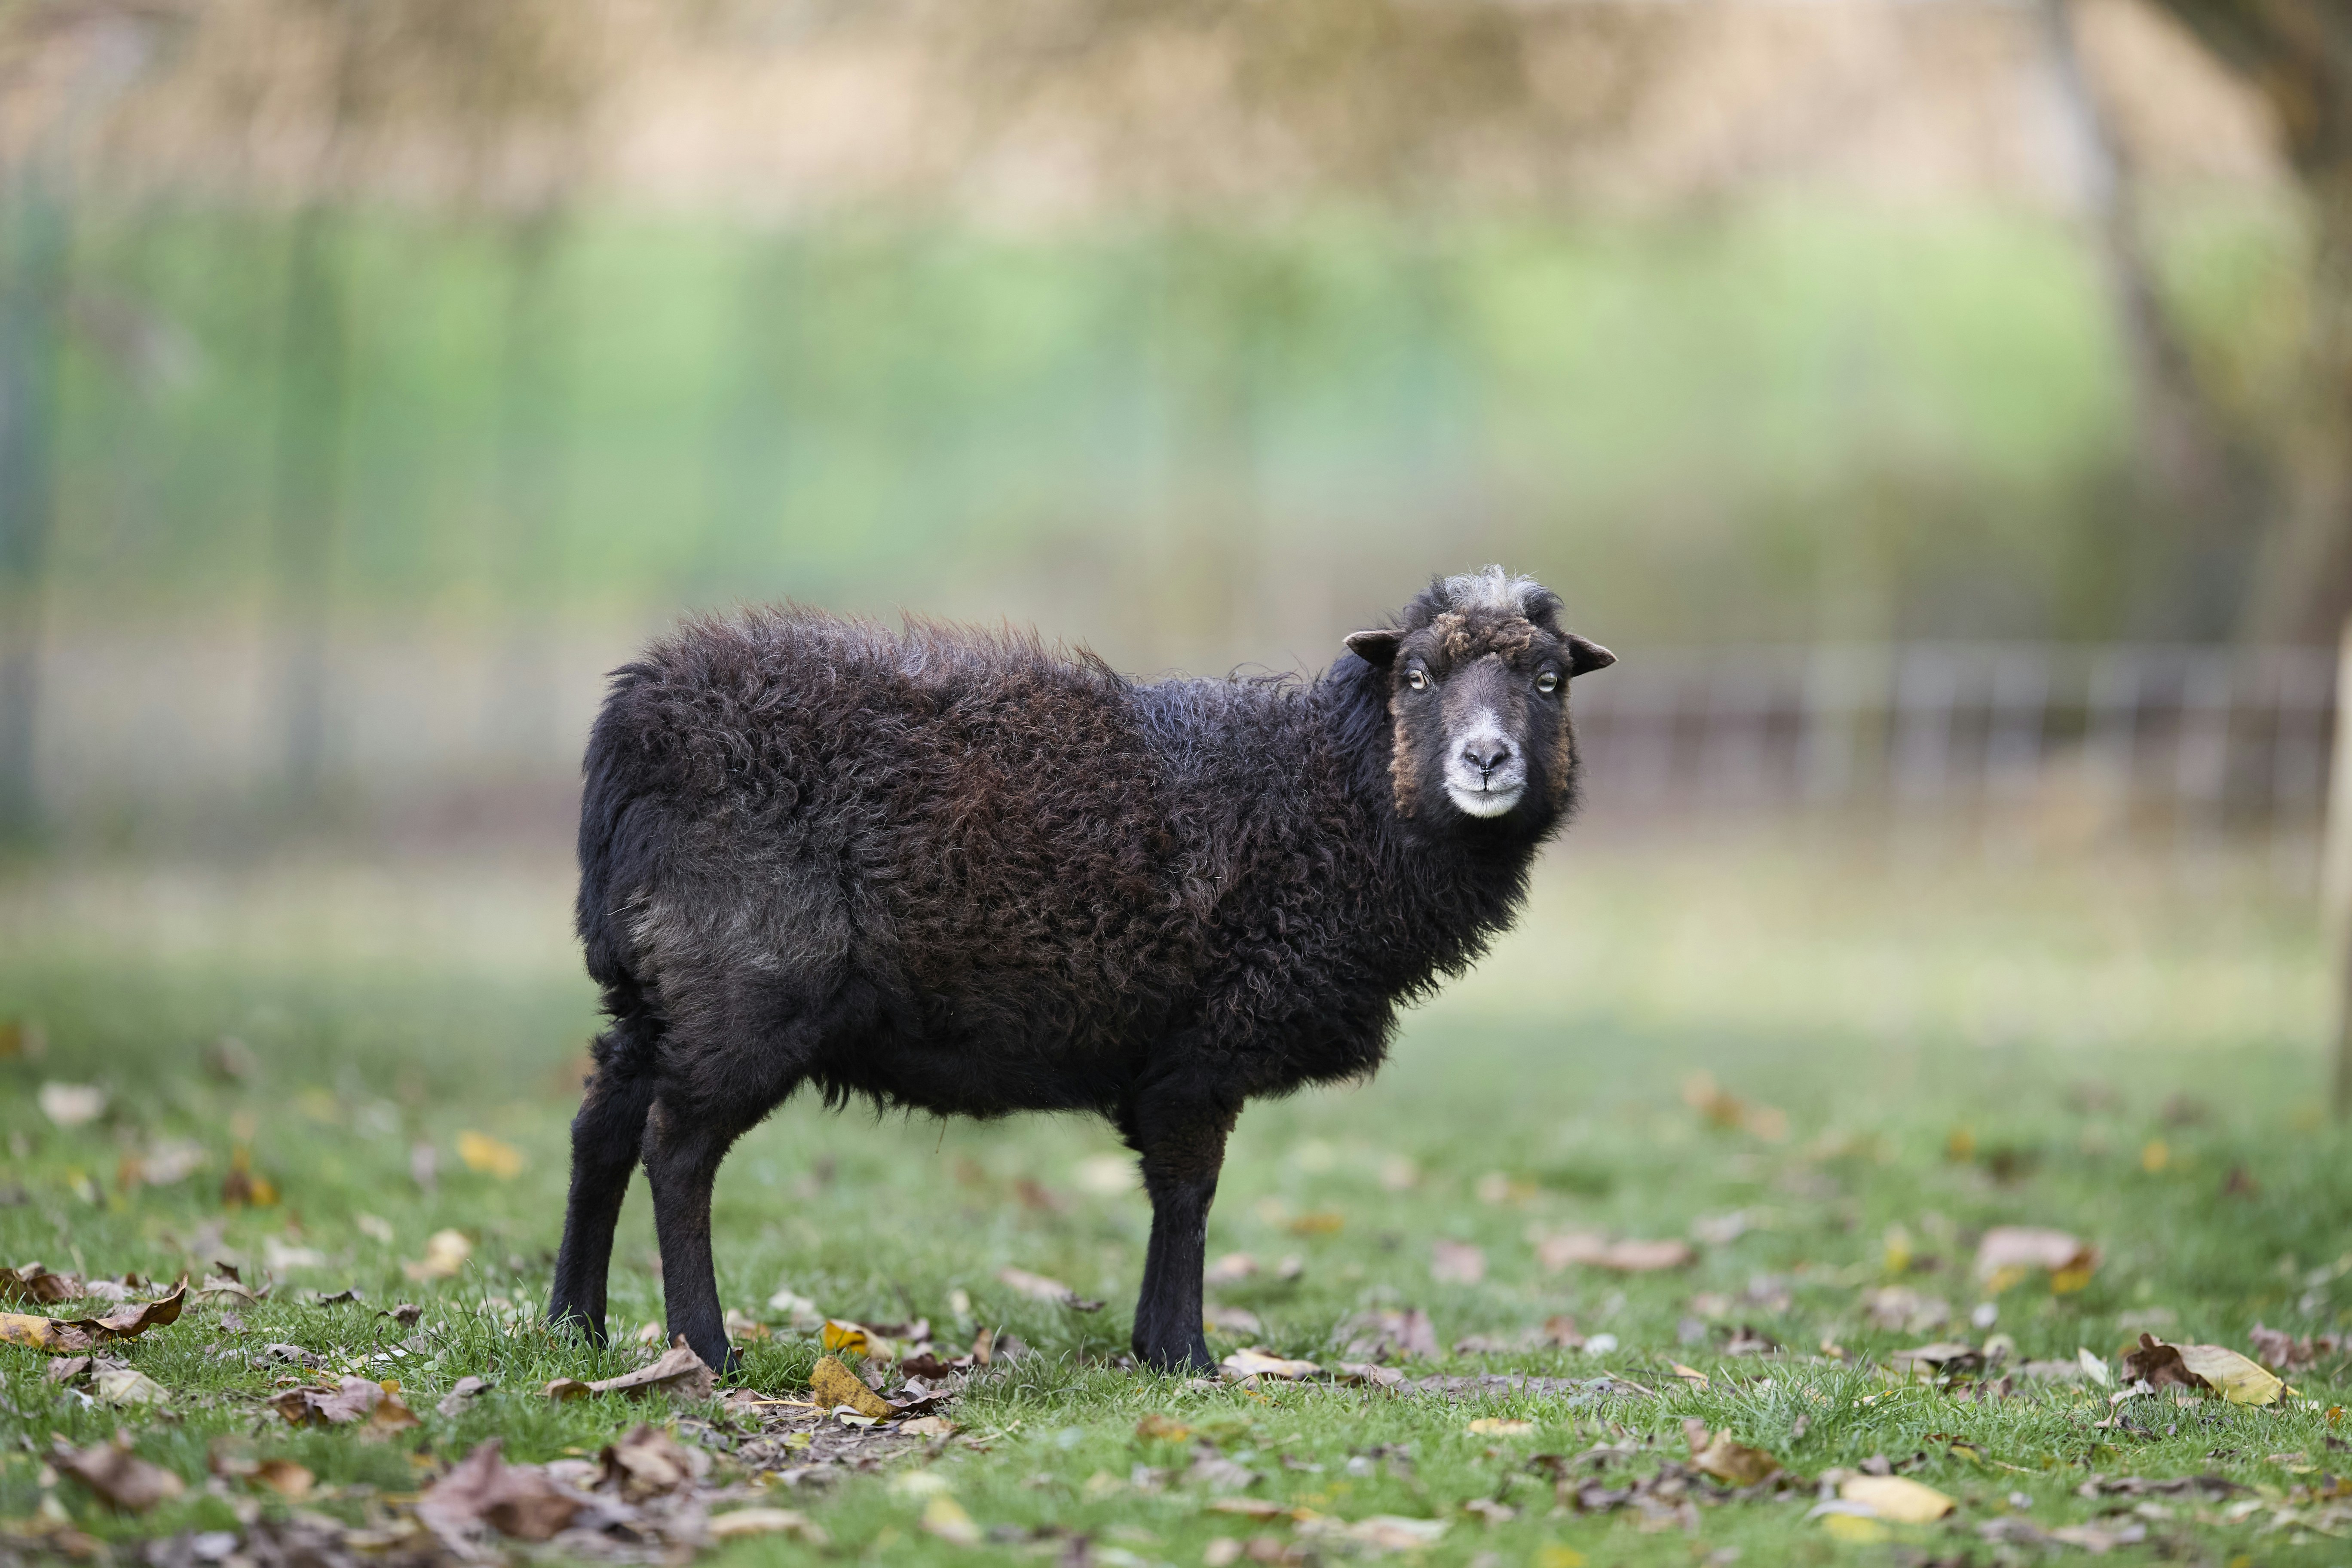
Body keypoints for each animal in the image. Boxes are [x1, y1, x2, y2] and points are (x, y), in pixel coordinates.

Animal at [547, 565, 1615, 1374]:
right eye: (1421, 677)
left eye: (1550, 681)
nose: (1487, 760)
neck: (1326, 798)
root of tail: (632, 722)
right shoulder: (1200, 1051)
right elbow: (1188, 1195)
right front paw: (1185, 1356)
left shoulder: (1172, 1059)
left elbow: (1173, 1195)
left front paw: (1155, 1346)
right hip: (741, 982)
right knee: (676, 1149)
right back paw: (704, 1348)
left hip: (656, 987)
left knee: (602, 1127)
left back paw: (575, 1329)